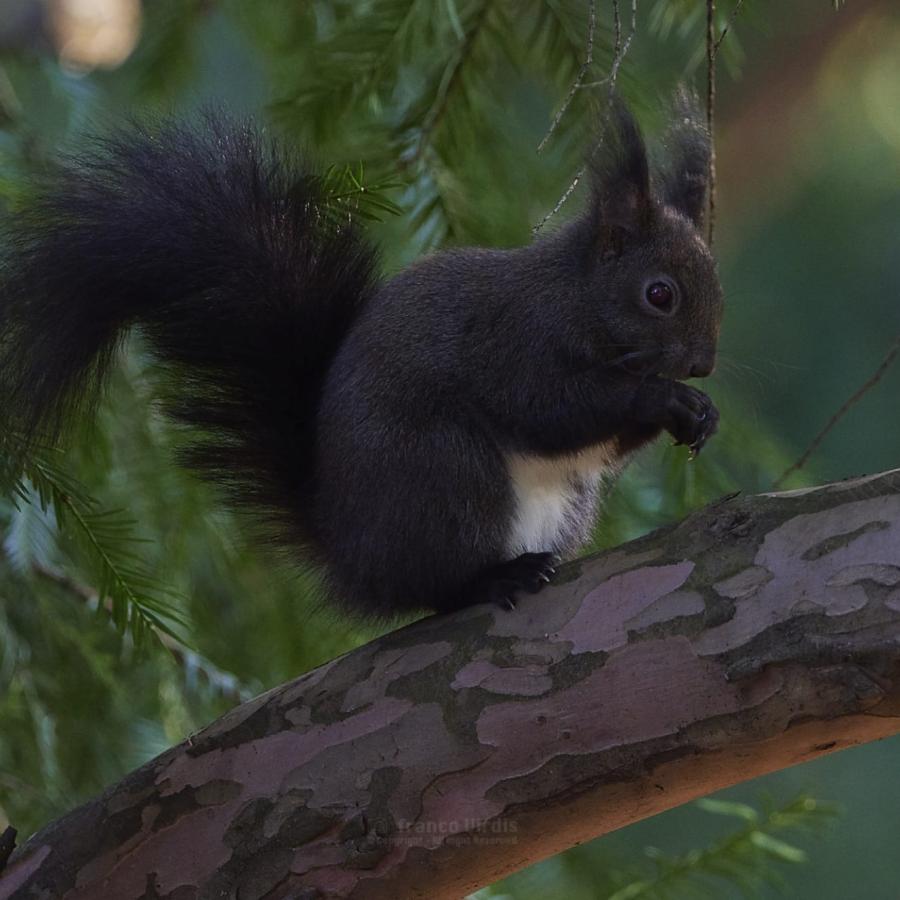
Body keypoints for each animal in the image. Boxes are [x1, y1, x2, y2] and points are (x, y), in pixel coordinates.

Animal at [0, 95, 722, 620]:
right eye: (659, 294)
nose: (703, 365)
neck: (575, 299)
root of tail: (350, 552)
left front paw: (699, 414)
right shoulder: (513, 340)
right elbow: (549, 411)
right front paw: (660, 398)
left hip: (564, 505)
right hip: (447, 474)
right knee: (435, 591)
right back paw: (495, 577)